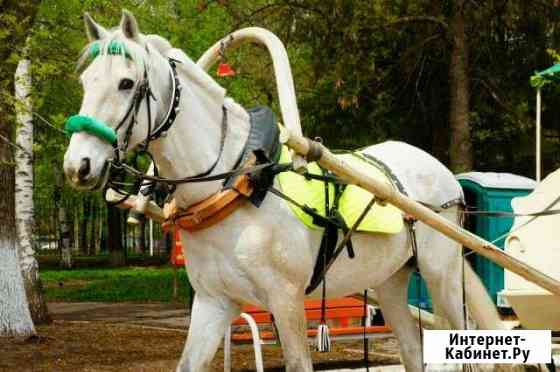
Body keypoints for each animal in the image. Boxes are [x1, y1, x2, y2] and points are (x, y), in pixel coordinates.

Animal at [64, 10, 504, 370]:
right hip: (391, 281)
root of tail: (445, 176)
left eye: (126, 83)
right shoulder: (212, 302)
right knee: (412, 350)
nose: (77, 165)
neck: (234, 184)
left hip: (441, 275)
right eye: (85, 81)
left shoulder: (287, 300)